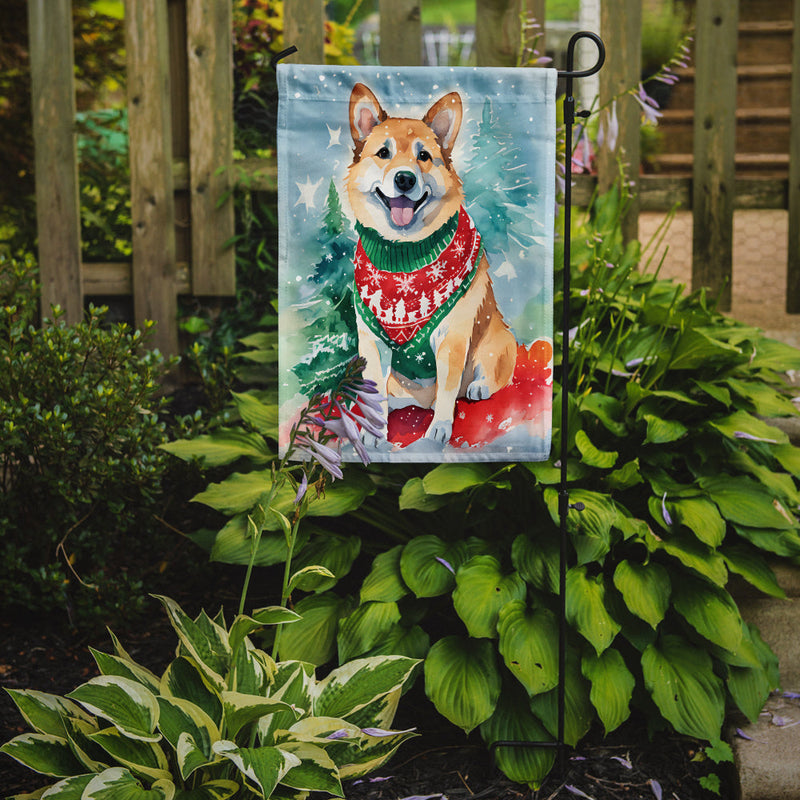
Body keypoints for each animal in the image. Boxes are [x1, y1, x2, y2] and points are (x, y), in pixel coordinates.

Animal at [346, 83, 516, 444]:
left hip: (497, 341)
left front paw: (439, 428)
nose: (405, 179)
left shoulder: (451, 339)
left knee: (490, 375)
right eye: (383, 153)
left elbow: (449, 390)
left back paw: (477, 388)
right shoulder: (371, 341)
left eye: (423, 156)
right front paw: (374, 430)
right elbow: (376, 392)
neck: (404, 255)